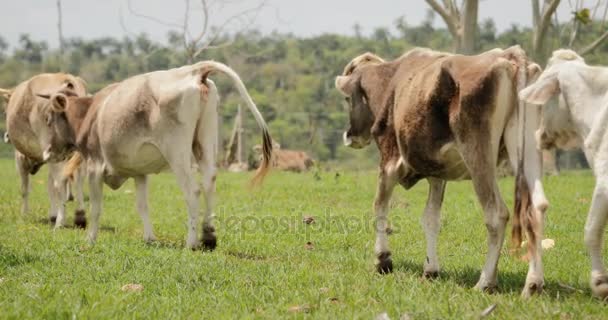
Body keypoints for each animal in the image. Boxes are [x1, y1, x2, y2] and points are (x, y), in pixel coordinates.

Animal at [0, 74, 88, 228]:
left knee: (60, 183)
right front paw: (52, 215)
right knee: (77, 179)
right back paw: (79, 216)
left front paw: (25, 214)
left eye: (4, 112)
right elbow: (50, 186)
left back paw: (60, 222)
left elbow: (24, 189)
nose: (6, 137)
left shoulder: (21, 158)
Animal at [38, 60, 274, 250]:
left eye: (49, 118)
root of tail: (194, 70)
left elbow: (96, 208)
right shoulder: (139, 173)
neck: (90, 113)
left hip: (177, 152)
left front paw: (90, 239)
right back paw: (208, 237)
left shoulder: (95, 167)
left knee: (193, 191)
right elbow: (142, 206)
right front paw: (150, 238)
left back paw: (191, 242)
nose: (47, 152)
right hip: (206, 143)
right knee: (209, 183)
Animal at [338, 47, 552, 298]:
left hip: (478, 153)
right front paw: (430, 269)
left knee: (497, 214)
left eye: (346, 98)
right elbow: (430, 218)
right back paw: (533, 284)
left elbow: (379, 206)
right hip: (527, 148)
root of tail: (510, 56)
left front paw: (382, 260)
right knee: (536, 208)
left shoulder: (389, 161)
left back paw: (485, 282)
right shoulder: (437, 173)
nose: (349, 135)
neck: (391, 80)